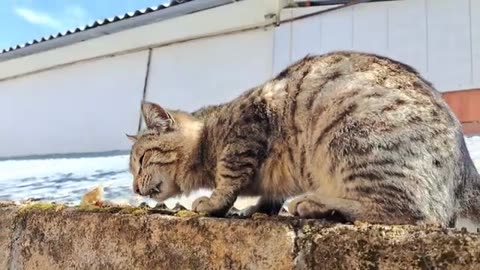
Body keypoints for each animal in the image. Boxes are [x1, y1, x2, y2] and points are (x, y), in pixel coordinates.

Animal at [126, 51, 480, 228]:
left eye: (141, 160)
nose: (133, 188)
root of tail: (466, 172)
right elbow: (268, 195)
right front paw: (257, 207)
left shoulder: (247, 126)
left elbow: (229, 177)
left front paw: (213, 203)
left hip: (351, 137)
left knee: (415, 214)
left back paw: (316, 204)